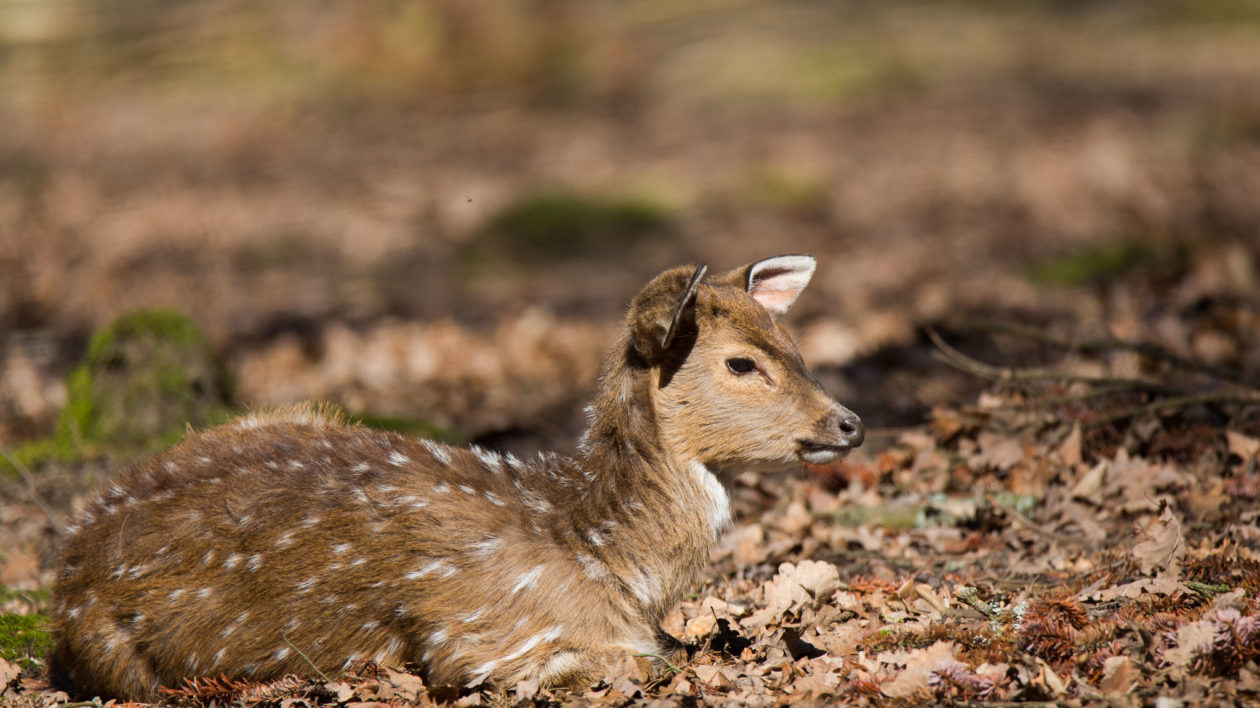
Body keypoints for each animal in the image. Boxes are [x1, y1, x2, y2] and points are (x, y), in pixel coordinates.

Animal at [44, 254, 861, 700]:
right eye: (741, 363)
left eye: (791, 341)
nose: (850, 421)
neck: (602, 556)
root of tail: (69, 560)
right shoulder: (476, 634)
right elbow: (641, 661)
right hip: (119, 658)